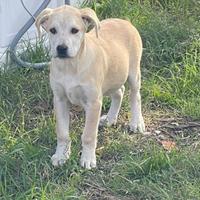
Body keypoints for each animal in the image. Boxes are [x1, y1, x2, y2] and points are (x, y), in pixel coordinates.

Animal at [35, 5, 145, 169]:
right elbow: (62, 133)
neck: (70, 66)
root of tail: (125, 21)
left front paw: (87, 159)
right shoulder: (60, 99)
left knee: (135, 95)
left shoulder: (93, 103)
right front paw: (61, 155)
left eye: (74, 30)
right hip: (112, 78)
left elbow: (88, 135)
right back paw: (110, 119)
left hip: (133, 72)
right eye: (52, 30)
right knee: (119, 92)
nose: (61, 48)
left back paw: (136, 123)